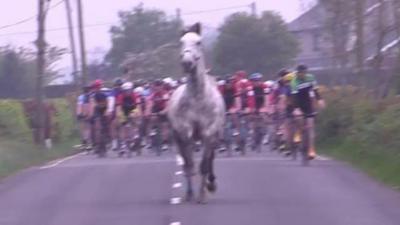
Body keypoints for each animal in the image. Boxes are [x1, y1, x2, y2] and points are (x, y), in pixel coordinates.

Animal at [167, 22, 227, 204]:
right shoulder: (185, 134)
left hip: (215, 137)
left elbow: (204, 166)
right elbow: (190, 165)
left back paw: (211, 184)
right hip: (178, 138)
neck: (198, 99)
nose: (187, 63)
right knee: (187, 163)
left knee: (211, 160)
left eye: (198, 42)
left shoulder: (209, 134)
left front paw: (202, 196)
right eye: (181, 42)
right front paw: (190, 194)